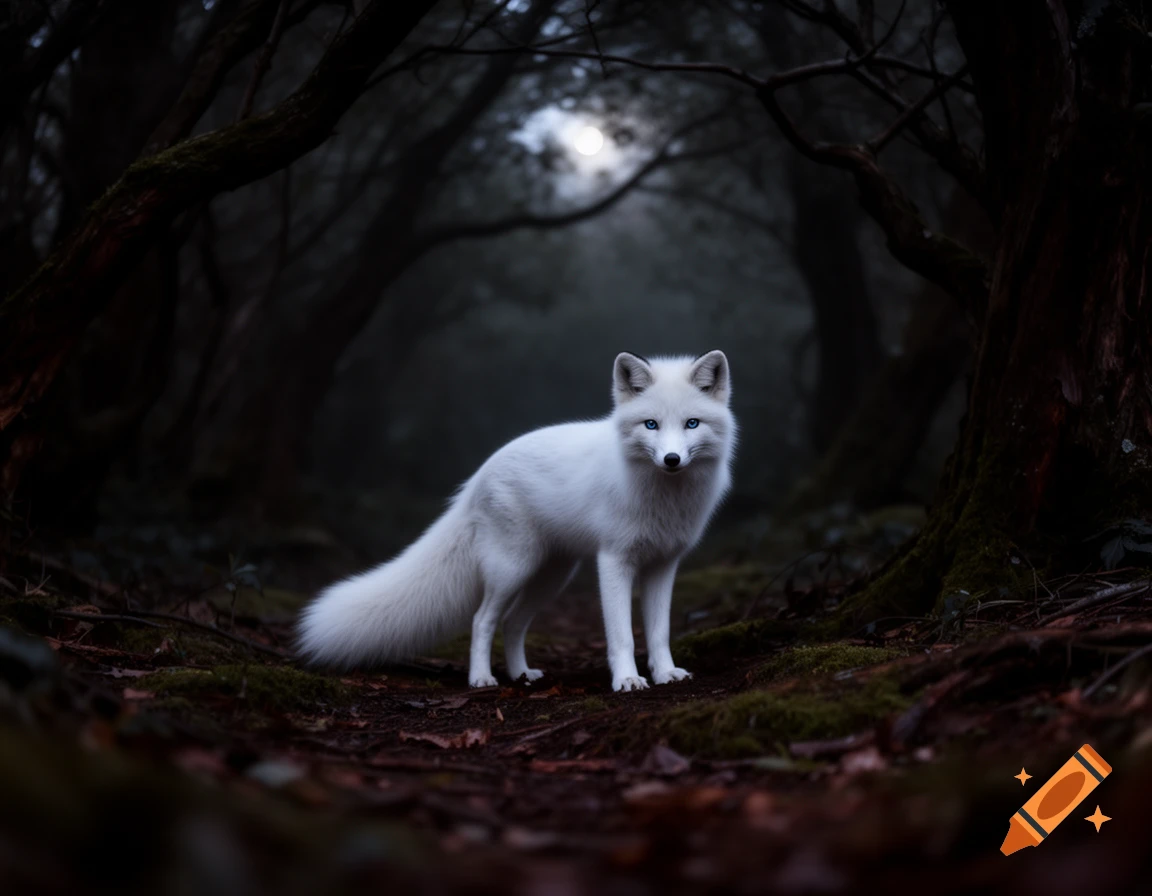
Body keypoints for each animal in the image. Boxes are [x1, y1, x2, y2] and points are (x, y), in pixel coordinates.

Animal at [297, 350, 737, 692]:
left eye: (691, 424)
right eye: (651, 425)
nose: (672, 460)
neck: (665, 499)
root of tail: (479, 474)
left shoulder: (664, 564)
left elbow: (659, 633)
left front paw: (665, 673)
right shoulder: (614, 560)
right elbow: (622, 637)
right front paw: (627, 680)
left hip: (550, 576)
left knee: (512, 624)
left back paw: (521, 674)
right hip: (512, 568)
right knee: (482, 621)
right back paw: (481, 679)